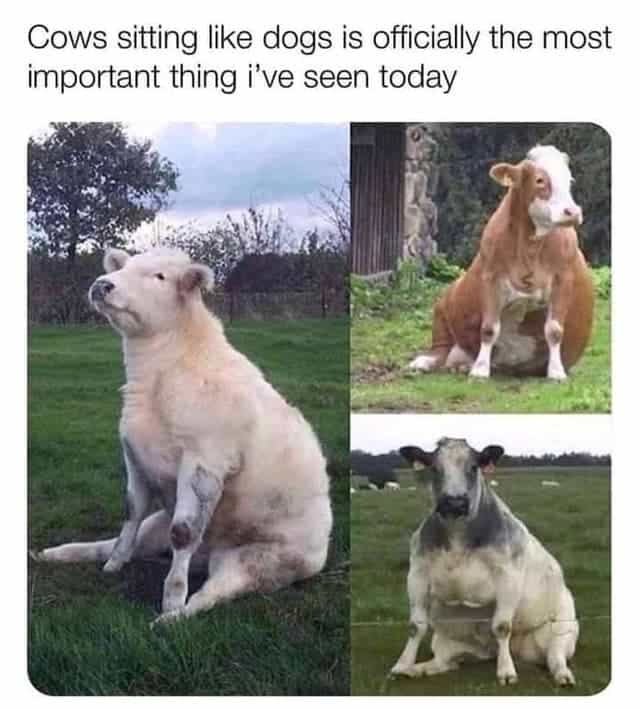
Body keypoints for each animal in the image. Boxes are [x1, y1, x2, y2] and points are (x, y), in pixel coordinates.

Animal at [31, 248, 332, 626]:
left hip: (260, 561)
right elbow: (131, 510)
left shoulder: (204, 461)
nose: (103, 284)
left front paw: (172, 599)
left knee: (215, 591)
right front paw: (115, 563)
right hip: (157, 526)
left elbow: (184, 533)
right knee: (119, 540)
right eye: (124, 267)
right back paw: (57, 554)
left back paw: (173, 619)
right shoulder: (134, 455)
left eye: (160, 276)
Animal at [390, 438, 578, 686]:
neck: (458, 535)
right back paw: (418, 669)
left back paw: (562, 675)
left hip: (562, 630)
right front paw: (402, 665)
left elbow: (502, 626)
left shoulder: (508, 577)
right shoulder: (417, 573)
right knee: (444, 662)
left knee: (554, 657)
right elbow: (415, 626)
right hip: (446, 640)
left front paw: (506, 672)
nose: (454, 503)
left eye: (473, 467)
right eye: (435, 468)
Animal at [409, 145, 594, 380]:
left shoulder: (564, 280)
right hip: (443, 304)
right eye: (540, 180)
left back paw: (462, 366)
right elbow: (489, 328)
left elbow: (554, 330)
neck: (530, 249)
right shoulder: (490, 278)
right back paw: (425, 362)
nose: (572, 212)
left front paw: (556, 372)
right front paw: (480, 370)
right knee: (441, 348)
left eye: (569, 180)